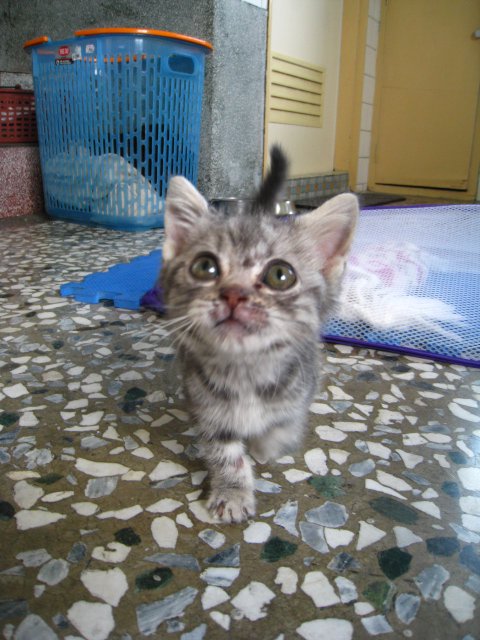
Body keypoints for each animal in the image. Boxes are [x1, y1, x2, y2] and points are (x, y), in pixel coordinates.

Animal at [160, 146, 358, 523]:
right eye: (204, 266)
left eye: (280, 275)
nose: (233, 294)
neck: (246, 373)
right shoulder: (207, 406)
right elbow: (225, 453)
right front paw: (233, 491)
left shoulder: (301, 389)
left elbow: (282, 424)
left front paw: (265, 446)